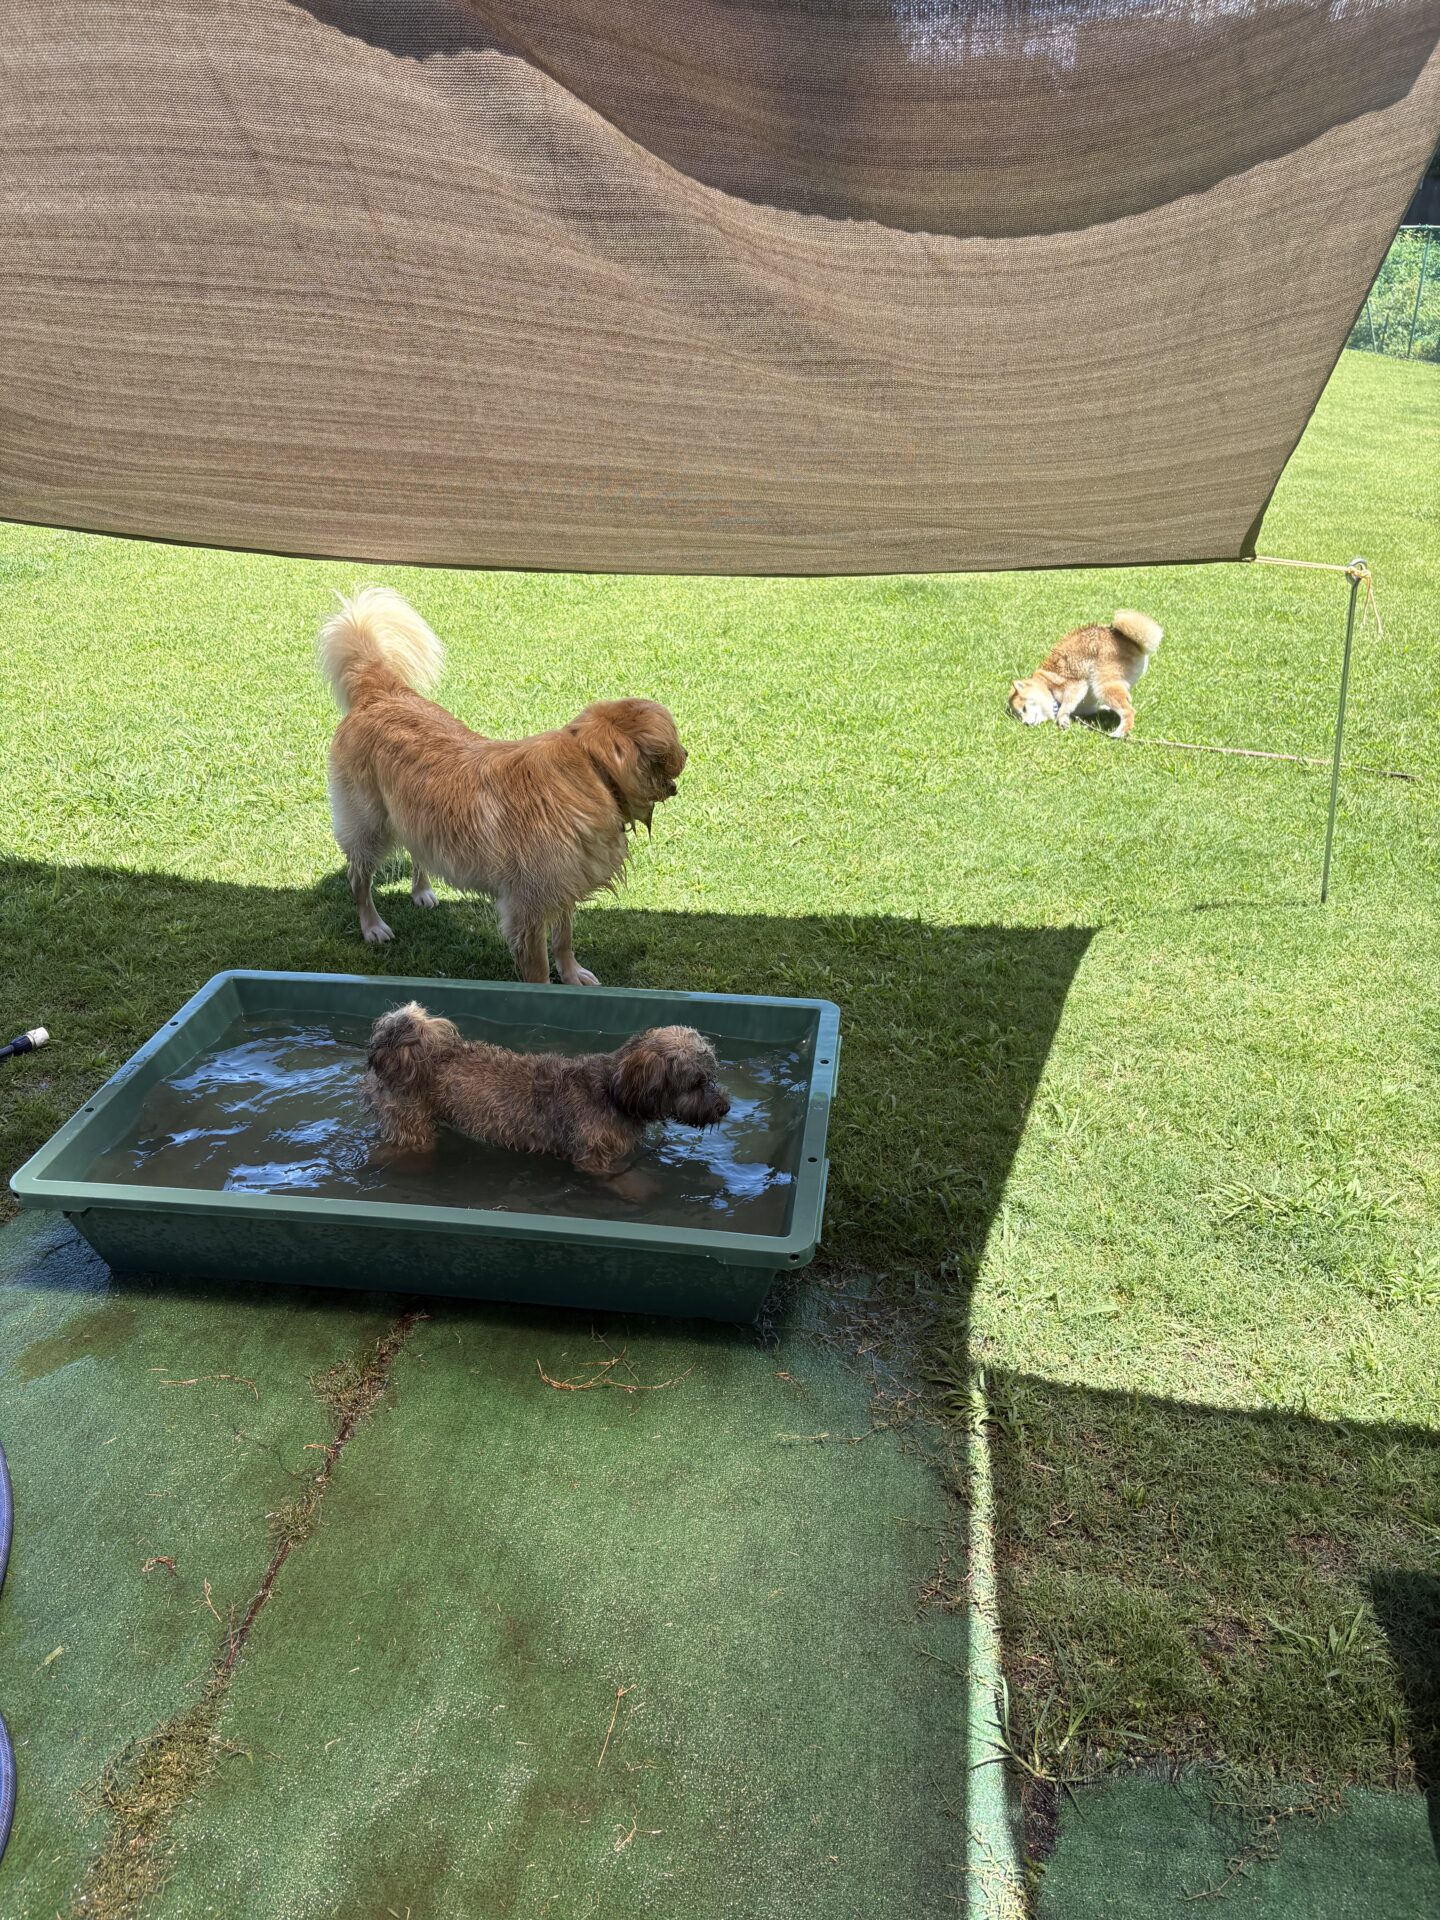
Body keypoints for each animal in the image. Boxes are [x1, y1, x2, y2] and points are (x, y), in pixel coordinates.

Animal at [319, 588, 686, 984]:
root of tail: (381, 694)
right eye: (675, 740)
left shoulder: (563, 882)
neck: (591, 768)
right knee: (358, 877)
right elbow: (539, 968)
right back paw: (372, 925)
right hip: (370, 824)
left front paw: (571, 974)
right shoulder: (527, 908)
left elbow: (565, 936)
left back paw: (423, 891)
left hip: (415, 815)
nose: (687, 753)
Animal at [363, 1002, 731, 1178]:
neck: (613, 1091)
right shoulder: (594, 1160)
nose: (725, 1106)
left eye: (711, 1076)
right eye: (696, 1082)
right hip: (409, 1125)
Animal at [1008, 609, 1163, 738]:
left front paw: (1062, 719)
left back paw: (1118, 733)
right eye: (1018, 716)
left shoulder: (1075, 685)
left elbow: (1065, 705)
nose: (1025, 723)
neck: (1047, 686)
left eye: (1023, 709)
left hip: (1102, 685)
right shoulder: (1088, 708)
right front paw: (1105, 709)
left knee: (1128, 711)